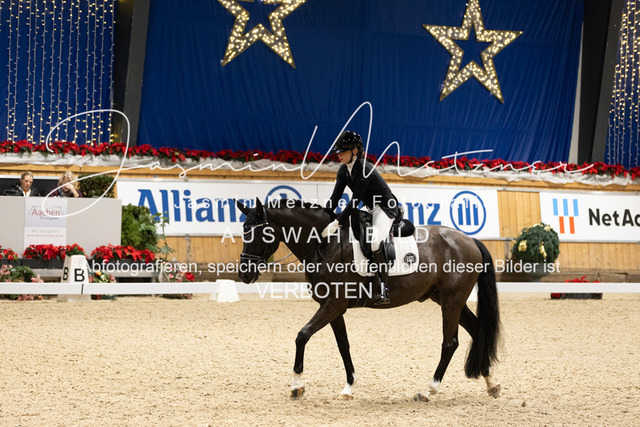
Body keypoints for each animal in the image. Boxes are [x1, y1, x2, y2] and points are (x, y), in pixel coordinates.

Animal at [236, 198, 501, 402]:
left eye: (259, 232)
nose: (244, 274)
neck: (325, 244)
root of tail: (470, 240)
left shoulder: (334, 305)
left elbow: (302, 336)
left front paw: (296, 386)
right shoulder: (333, 308)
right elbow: (343, 345)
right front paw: (348, 388)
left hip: (452, 300)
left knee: (450, 343)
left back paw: (428, 390)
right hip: (447, 299)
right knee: (477, 330)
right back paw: (491, 384)